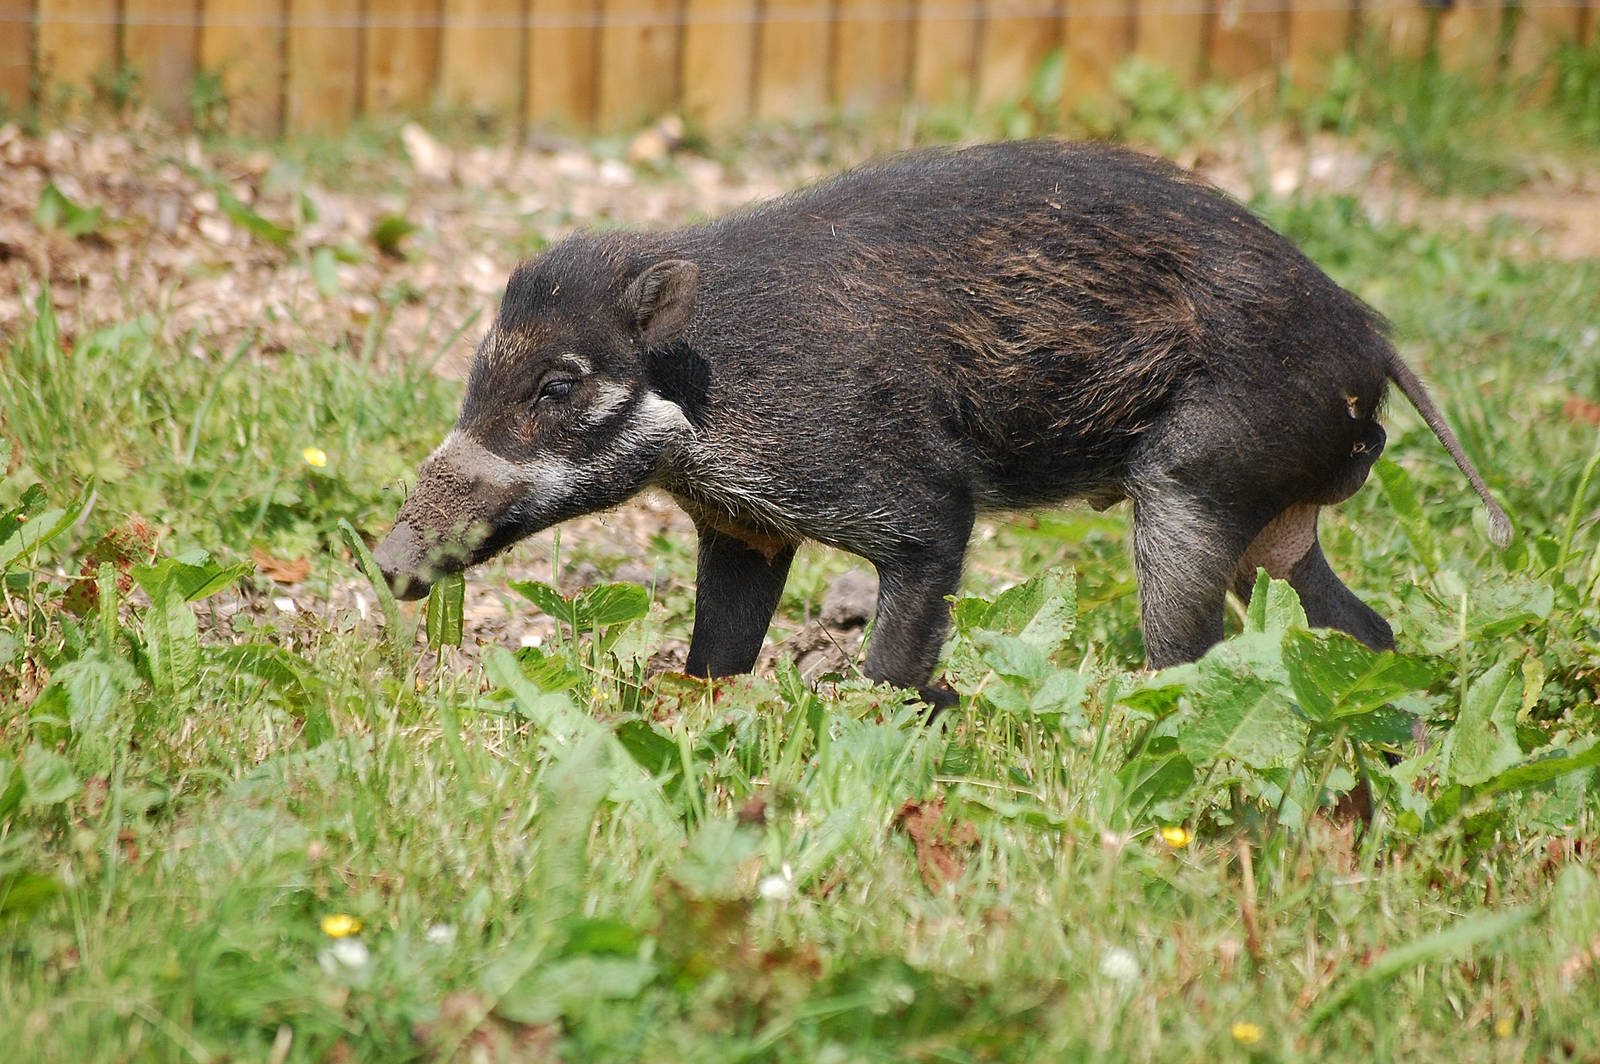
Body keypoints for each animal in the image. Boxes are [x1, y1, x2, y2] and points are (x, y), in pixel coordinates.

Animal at [373, 139, 1511, 708]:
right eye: (480, 368)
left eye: (559, 385)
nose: (384, 560)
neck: (710, 390)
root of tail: (1371, 337)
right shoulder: (746, 529)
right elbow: (718, 653)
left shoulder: (918, 508)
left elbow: (896, 653)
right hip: (1274, 524)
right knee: (1359, 628)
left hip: (1195, 485)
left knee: (1192, 656)